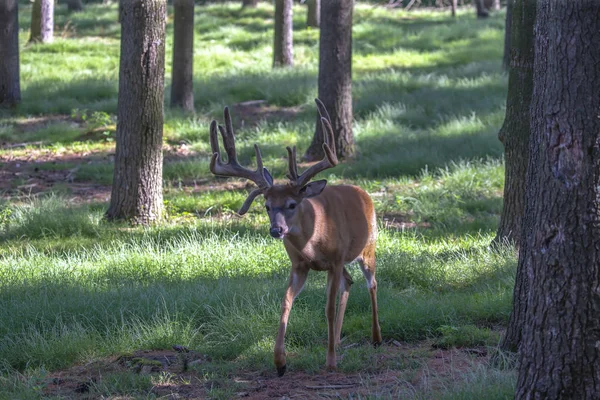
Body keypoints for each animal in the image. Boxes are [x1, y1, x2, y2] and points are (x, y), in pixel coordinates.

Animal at [209, 99, 382, 376]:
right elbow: (285, 302)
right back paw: (336, 339)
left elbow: (328, 308)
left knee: (372, 284)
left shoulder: (334, 260)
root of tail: (362, 192)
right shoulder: (300, 265)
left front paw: (330, 362)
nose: (276, 230)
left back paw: (376, 338)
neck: (314, 240)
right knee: (349, 282)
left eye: (291, 204)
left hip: (368, 246)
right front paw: (280, 362)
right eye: (267, 206)